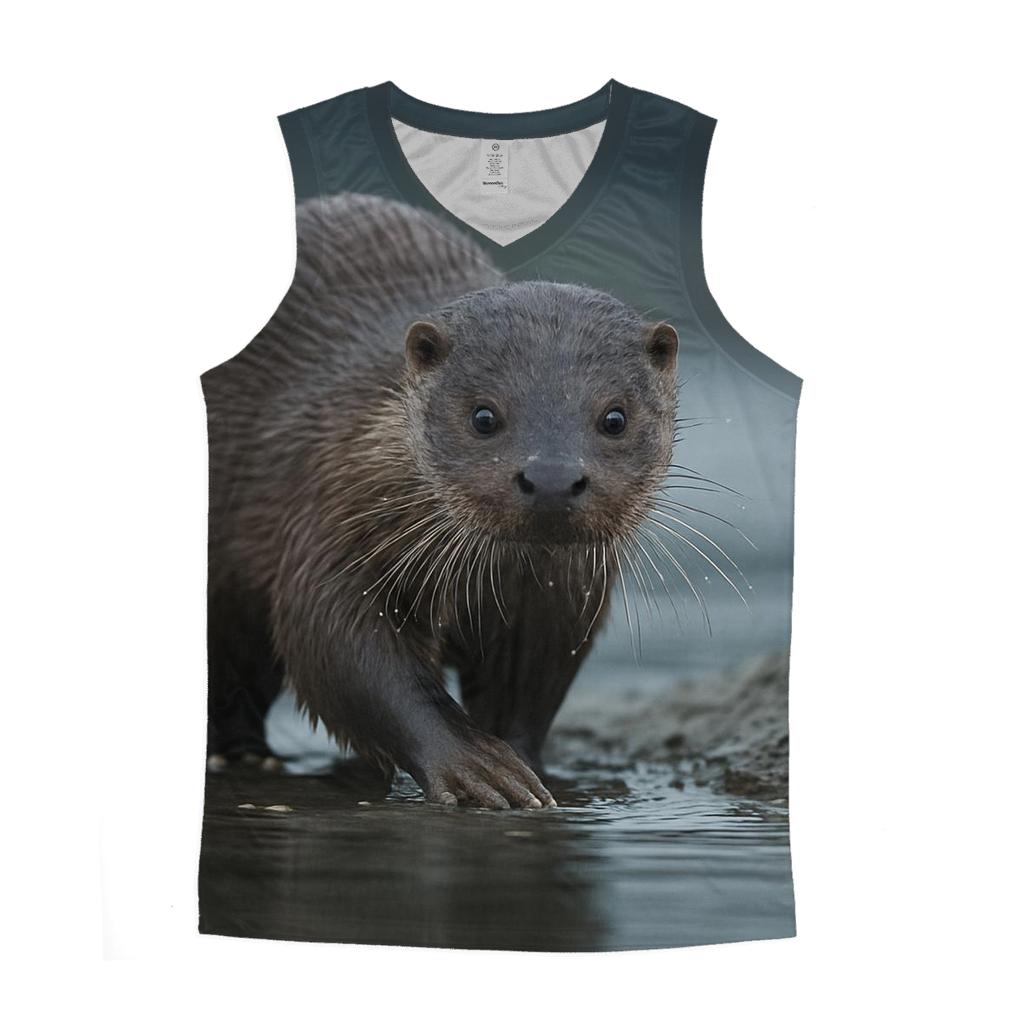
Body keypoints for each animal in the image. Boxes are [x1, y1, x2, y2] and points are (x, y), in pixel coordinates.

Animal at [204, 193, 678, 808]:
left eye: (615, 418)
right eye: (484, 416)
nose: (551, 477)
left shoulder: (557, 602)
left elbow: (529, 686)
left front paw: (523, 765)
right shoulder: (332, 520)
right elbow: (339, 644)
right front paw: (478, 766)